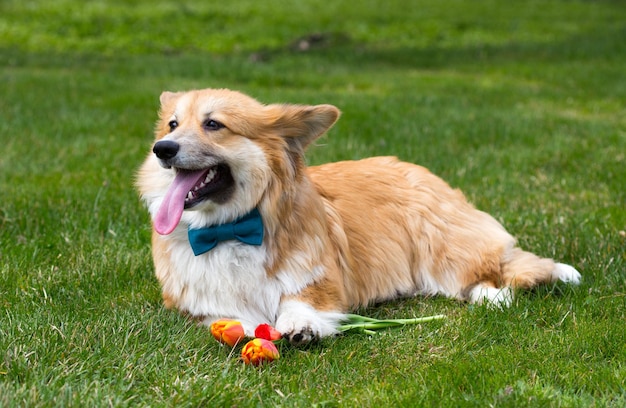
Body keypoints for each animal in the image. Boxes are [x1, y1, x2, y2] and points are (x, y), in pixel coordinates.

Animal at [138, 88, 580, 344]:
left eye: (213, 124)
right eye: (173, 124)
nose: (163, 148)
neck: (231, 228)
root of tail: (422, 170)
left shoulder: (320, 281)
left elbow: (300, 301)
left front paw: (301, 326)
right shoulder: (195, 300)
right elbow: (225, 312)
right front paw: (242, 325)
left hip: (444, 252)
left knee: (498, 271)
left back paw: (509, 291)